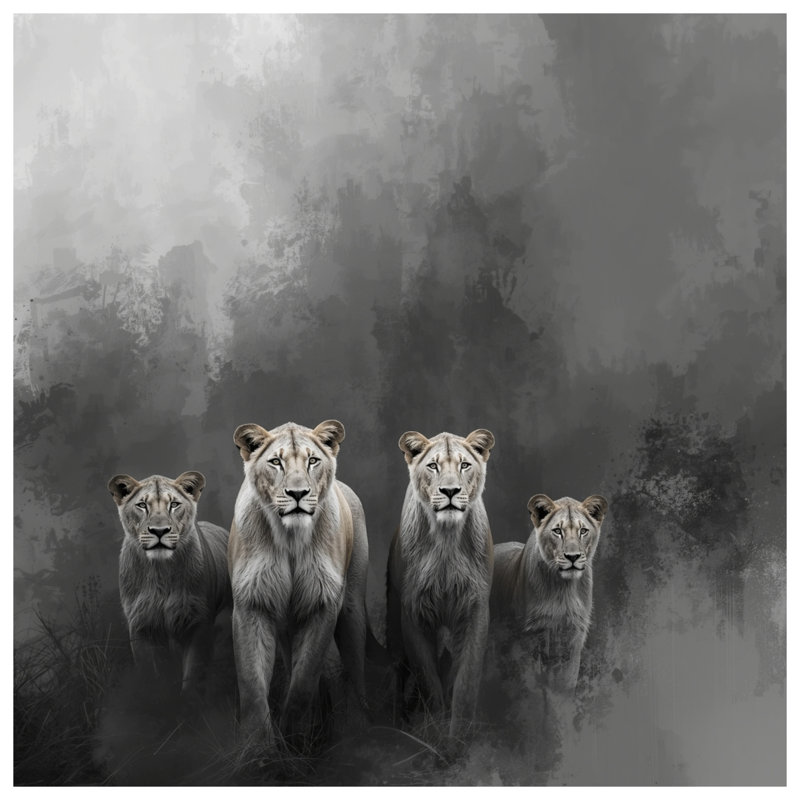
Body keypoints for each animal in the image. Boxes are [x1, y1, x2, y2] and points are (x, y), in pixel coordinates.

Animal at [107, 471, 232, 693]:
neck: (161, 571)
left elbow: (193, 676)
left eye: (174, 504)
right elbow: (151, 675)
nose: (159, 531)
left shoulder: (198, 623)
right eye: (142, 505)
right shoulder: (141, 625)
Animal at [228, 419, 374, 749]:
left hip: (351, 610)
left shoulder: (324, 605)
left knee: (357, 670)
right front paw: (258, 747)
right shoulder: (251, 603)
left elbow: (304, 681)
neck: (291, 538)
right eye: (276, 462)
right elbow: (251, 684)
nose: (298, 493)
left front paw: (294, 737)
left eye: (312, 461)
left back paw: (359, 727)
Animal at [386, 428, 495, 744]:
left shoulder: (475, 610)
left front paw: (458, 738)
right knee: (396, 668)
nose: (450, 491)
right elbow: (428, 679)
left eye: (464, 465)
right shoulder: (412, 613)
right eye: (433, 466)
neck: (446, 537)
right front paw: (435, 732)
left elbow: (465, 682)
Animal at [490, 494, 608, 693]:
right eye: (557, 531)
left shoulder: (572, 640)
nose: (573, 557)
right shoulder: (528, 639)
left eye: (583, 531)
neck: (563, 589)